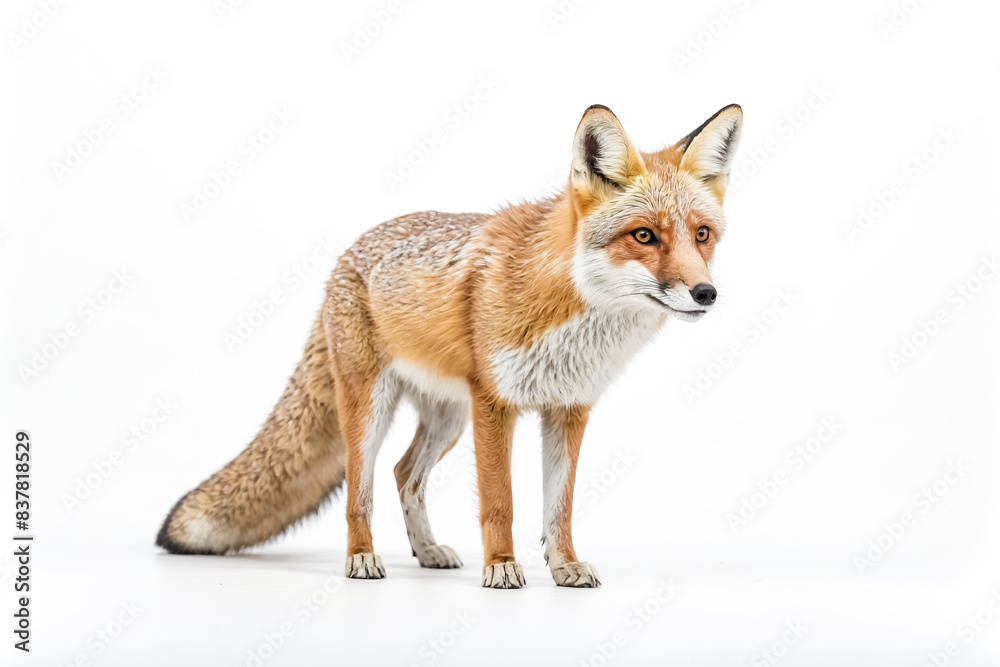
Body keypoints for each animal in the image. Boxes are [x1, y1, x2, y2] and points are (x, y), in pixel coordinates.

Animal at [156, 103, 743, 588]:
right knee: (361, 489)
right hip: (372, 410)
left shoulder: (568, 409)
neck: (569, 315)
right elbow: (500, 503)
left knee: (404, 473)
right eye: (644, 236)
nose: (706, 293)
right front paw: (502, 568)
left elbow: (560, 508)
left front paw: (565, 566)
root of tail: (348, 252)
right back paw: (362, 558)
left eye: (702, 235)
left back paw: (427, 551)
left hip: (447, 418)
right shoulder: (495, 404)